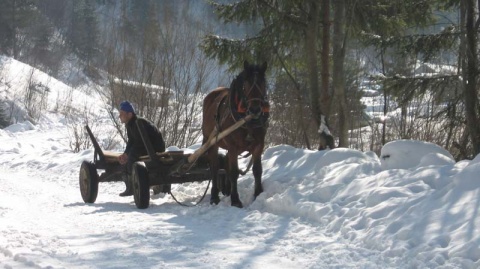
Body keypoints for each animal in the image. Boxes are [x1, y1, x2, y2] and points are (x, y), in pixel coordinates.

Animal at [202, 60, 270, 207]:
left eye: (263, 83)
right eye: (245, 85)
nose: (255, 109)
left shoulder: (259, 144)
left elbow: (257, 170)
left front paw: (258, 193)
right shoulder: (233, 146)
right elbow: (233, 172)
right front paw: (235, 200)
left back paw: (226, 190)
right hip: (212, 142)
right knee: (215, 168)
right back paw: (214, 196)